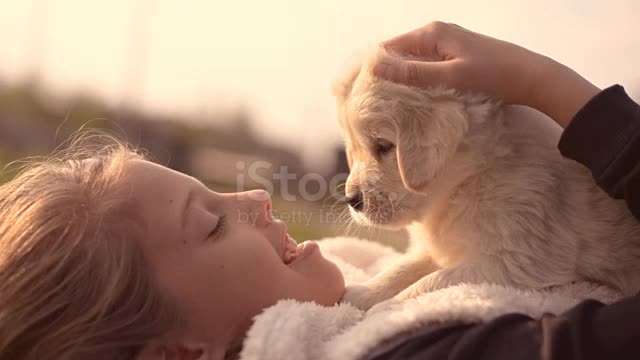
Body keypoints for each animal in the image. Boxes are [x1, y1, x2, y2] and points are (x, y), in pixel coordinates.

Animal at [336, 49, 640, 310]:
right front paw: (362, 294)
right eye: (354, 149)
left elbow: (433, 281)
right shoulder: (443, 248)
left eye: (384, 146)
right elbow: (405, 268)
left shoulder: (513, 261)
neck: (469, 179)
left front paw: (388, 308)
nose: (352, 200)